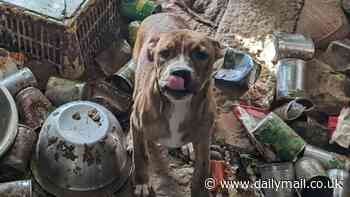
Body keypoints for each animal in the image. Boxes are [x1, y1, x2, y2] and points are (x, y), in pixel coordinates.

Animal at [130, 13, 223, 196]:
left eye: (201, 54)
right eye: (164, 53)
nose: (179, 72)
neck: (177, 105)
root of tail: (161, 13)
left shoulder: (204, 140)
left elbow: (202, 170)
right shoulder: (137, 123)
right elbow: (140, 155)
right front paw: (142, 182)